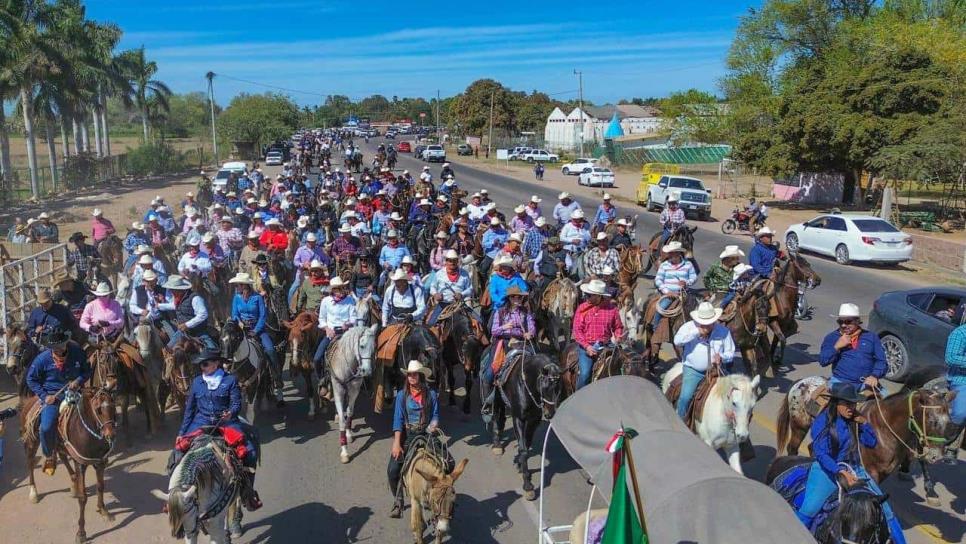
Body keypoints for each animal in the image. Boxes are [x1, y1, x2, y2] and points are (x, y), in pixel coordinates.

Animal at [19, 386, 117, 544]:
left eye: (113, 406)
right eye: (98, 410)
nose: (111, 435)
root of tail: (31, 400)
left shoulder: (101, 462)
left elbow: (101, 487)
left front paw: (103, 510)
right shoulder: (81, 464)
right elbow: (83, 498)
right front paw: (81, 533)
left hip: (60, 444)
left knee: (63, 456)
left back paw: (73, 483)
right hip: (31, 442)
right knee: (30, 463)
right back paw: (33, 492)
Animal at [324, 326, 376, 462]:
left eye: (374, 347)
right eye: (362, 346)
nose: (367, 371)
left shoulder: (354, 390)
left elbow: (349, 412)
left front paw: (348, 434)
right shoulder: (338, 391)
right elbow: (343, 419)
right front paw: (344, 452)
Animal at [488, 350, 564, 500]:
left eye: (559, 387)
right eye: (545, 387)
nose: (550, 414)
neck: (526, 386)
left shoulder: (534, 420)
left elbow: (526, 445)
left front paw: (520, 464)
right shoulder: (518, 419)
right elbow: (523, 449)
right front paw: (528, 485)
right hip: (497, 396)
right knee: (495, 416)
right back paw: (497, 444)